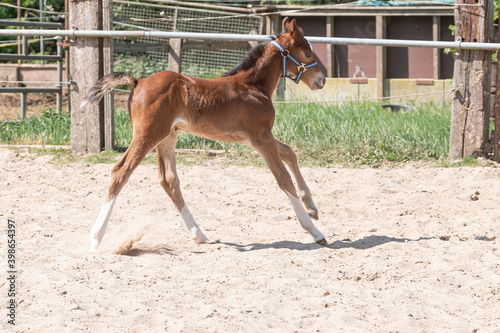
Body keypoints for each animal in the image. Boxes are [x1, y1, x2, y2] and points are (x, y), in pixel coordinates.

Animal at [81, 18, 326, 252]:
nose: (321, 80)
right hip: (147, 135)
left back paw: (200, 235)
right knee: (120, 171)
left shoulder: (257, 137)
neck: (252, 87)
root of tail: (137, 82)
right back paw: (95, 240)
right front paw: (314, 231)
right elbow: (283, 179)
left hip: (167, 137)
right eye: (307, 53)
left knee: (169, 180)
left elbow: (289, 152)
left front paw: (312, 207)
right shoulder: (260, 137)